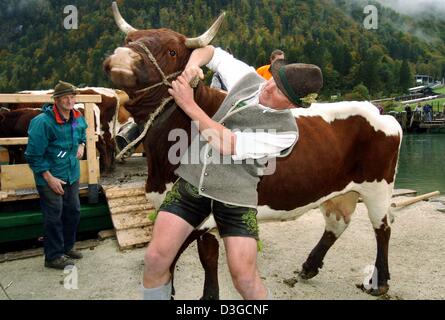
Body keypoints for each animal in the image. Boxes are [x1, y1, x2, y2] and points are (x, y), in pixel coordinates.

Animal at [104, 2, 402, 298]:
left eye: (172, 51)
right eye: (128, 40)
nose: (121, 57)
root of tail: (377, 108)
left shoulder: (204, 216)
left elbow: (197, 255)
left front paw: (206, 294)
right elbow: (194, 255)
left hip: (378, 187)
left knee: (383, 228)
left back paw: (380, 281)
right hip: (338, 191)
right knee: (337, 223)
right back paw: (309, 266)